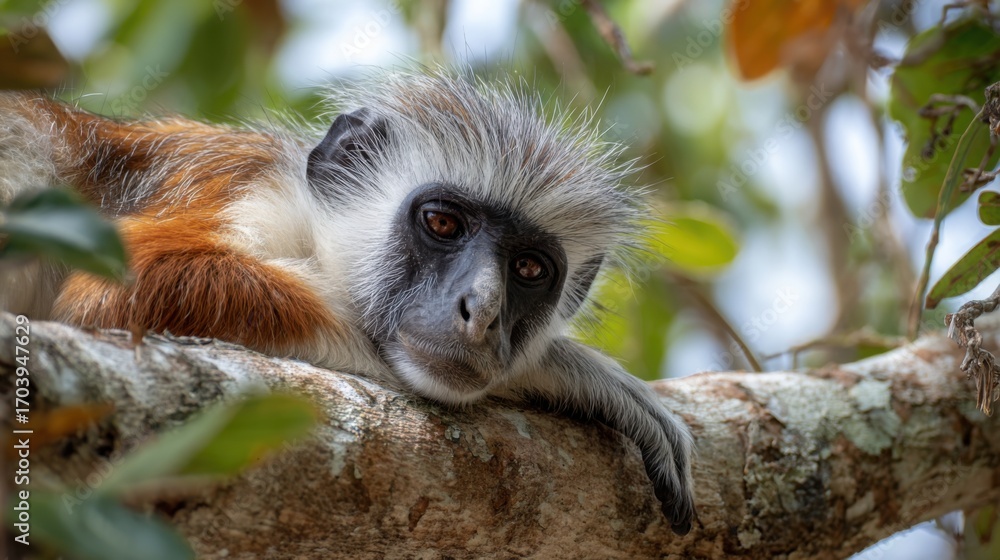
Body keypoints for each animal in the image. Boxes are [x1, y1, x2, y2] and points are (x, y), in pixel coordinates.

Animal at [0, 70, 695, 534]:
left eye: (528, 269)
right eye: (442, 224)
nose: (483, 310)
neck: (310, 228)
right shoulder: (238, 184)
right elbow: (115, 295)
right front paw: (560, 370)